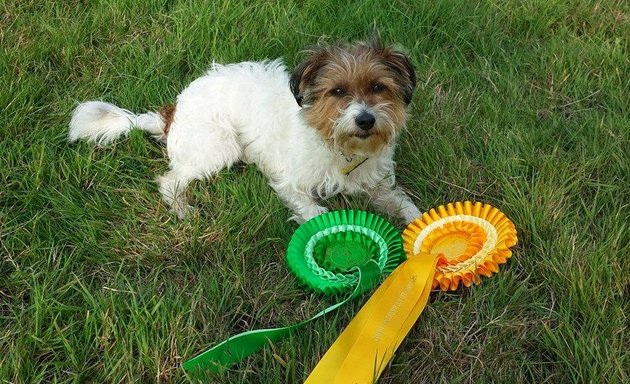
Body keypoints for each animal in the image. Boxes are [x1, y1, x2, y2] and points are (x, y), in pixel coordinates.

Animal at [69, 37, 422, 224]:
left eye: (377, 87)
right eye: (337, 91)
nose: (365, 120)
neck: (339, 146)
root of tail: (173, 112)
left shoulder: (378, 184)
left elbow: (407, 207)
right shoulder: (291, 184)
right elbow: (314, 214)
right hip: (218, 147)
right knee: (170, 180)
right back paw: (183, 210)